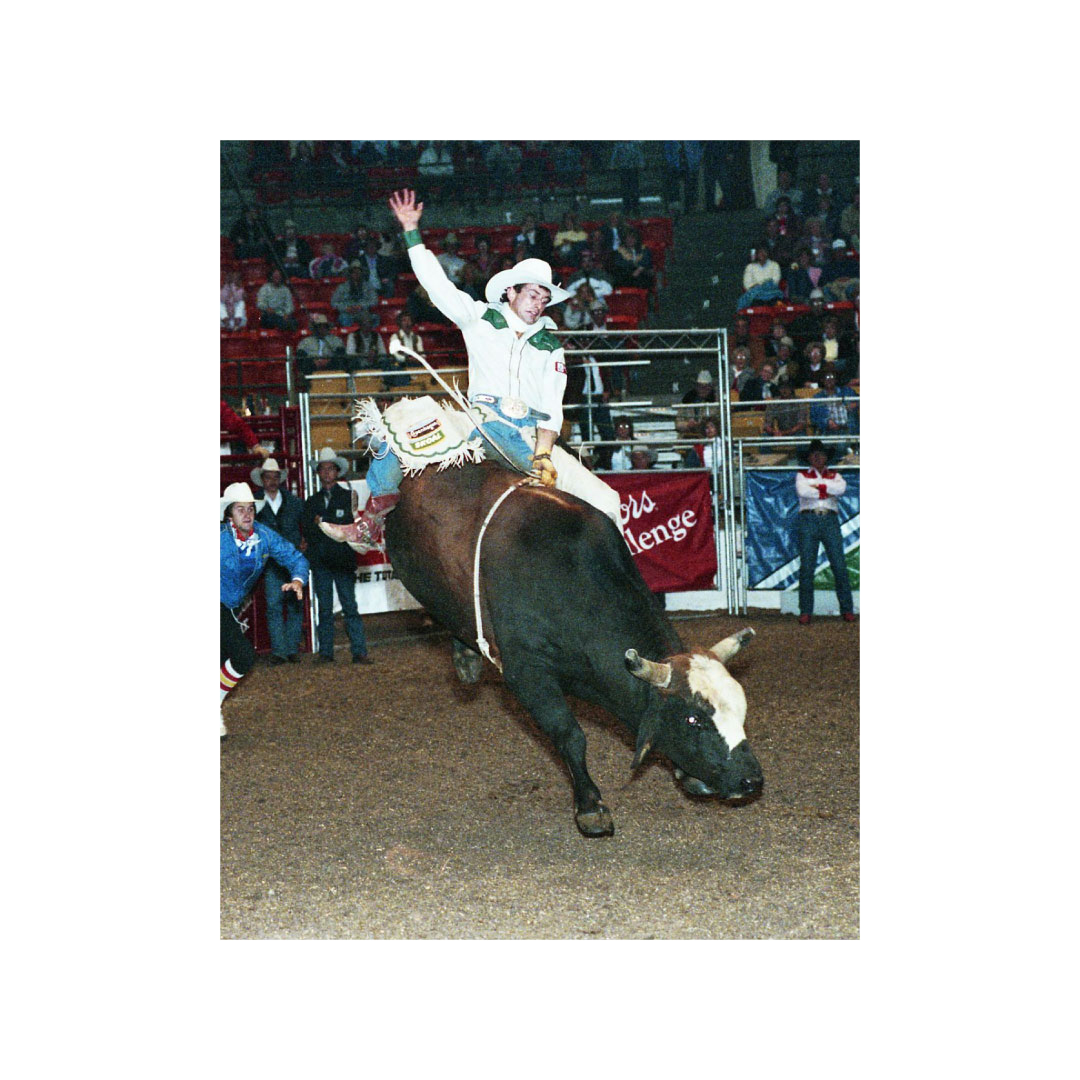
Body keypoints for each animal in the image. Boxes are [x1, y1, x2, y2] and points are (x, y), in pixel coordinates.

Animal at [319, 447, 760, 833]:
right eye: (693, 718)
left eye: (740, 707)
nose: (752, 780)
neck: (571, 585)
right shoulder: (526, 671)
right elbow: (570, 735)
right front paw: (591, 807)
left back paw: (466, 657)